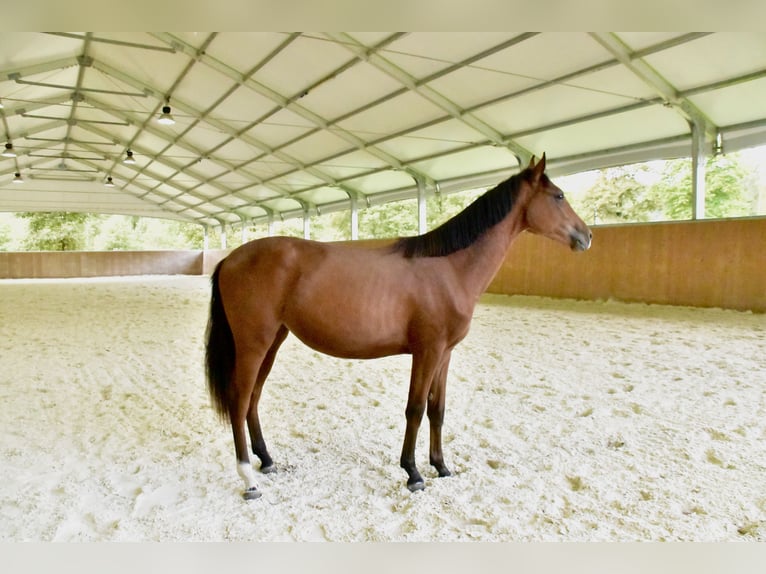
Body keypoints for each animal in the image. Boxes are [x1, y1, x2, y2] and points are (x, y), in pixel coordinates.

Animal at [206, 155, 592, 502]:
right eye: (558, 195)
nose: (586, 236)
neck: (448, 268)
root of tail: (230, 259)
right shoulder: (427, 351)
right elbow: (416, 409)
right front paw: (413, 473)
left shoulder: (445, 354)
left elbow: (437, 409)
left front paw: (441, 466)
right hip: (253, 344)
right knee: (240, 400)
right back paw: (248, 479)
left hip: (273, 341)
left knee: (253, 399)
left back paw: (267, 460)